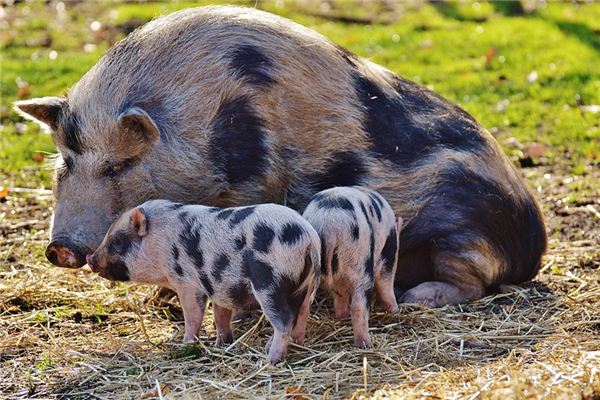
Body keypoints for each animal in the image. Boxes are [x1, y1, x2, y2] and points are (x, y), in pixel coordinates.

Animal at [15, 4, 548, 308]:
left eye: (119, 165)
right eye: (65, 163)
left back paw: (417, 298)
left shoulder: (252, 187)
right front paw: (167, 296)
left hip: (465, 235)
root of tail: (536, 244)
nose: (60, 248)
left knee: (474, 283)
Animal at [85, 198, 322, 364]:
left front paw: (185, 345)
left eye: (116, 241)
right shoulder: (219, 286)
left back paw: (270, 359)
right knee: (301, 314)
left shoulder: (186, 283)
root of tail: (309, 239)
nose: (90, 259)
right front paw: (220, 345)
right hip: (306, 286)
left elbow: (193, 315)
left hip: (269, 283)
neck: (158, 243)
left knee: (284, 319)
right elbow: (220, 315)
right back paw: (294, 345)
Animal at [302, 188, 400, 346]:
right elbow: (386, 283)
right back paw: (365, 344)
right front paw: (395, 311)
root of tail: (330, 225)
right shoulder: (388, 255)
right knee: (359, 304)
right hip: (361, 261)